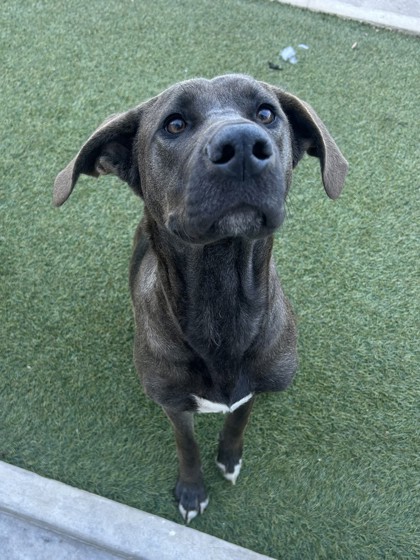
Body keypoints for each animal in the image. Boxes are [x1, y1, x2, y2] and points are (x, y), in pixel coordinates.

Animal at [54, 74, 347, 523]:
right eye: (174, 124)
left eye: (266, 113)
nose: (242, 145)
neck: (222, 302)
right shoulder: (174, 405)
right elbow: (186, 445)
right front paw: (192, 491)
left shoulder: (253, 388)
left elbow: (238, 420)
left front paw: (229, 458)